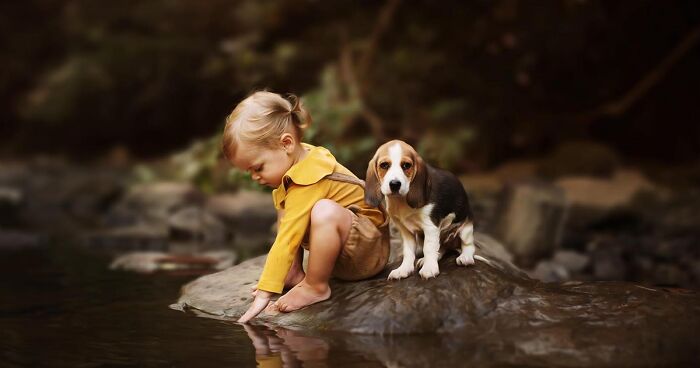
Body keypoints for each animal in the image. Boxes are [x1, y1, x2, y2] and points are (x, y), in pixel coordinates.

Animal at [364, 140, 484, 278]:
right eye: (384, 165)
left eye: (406, 165)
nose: (395, 184)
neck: (401, 201)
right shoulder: (405, 230)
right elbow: (409, 252)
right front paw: (404, 269)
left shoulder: (430, 227)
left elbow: (428, 248)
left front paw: (429, 268)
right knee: (441, 249)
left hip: (465, 229)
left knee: (468, 245)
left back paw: (466, 257)